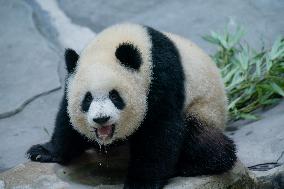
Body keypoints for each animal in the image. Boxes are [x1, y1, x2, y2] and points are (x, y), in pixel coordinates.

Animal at [27, 23, 237, 189]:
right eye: (87, 99)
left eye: (114, 96)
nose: (101, 119)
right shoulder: (71, 82)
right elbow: (66, 120)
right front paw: (44, 152)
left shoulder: (161, 77)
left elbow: (160, 130)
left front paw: (141, 182)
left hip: (203, 108)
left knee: (201, 139)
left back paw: (189, 165)